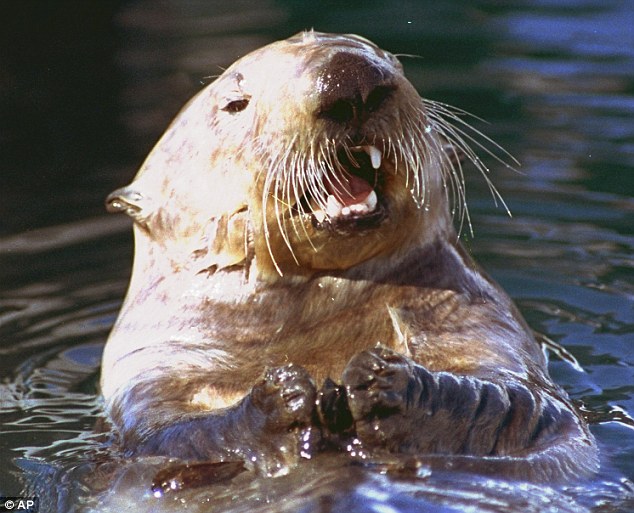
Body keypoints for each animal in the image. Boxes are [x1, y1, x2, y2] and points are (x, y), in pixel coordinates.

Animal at [101, 32, 596, 484]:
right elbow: (177, 434)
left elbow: (515, 403)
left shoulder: (484, 320)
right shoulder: (152, 366)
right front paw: (283, 402)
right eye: (235, 103)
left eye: (392, 60)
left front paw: (386, 385)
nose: (351, 77)